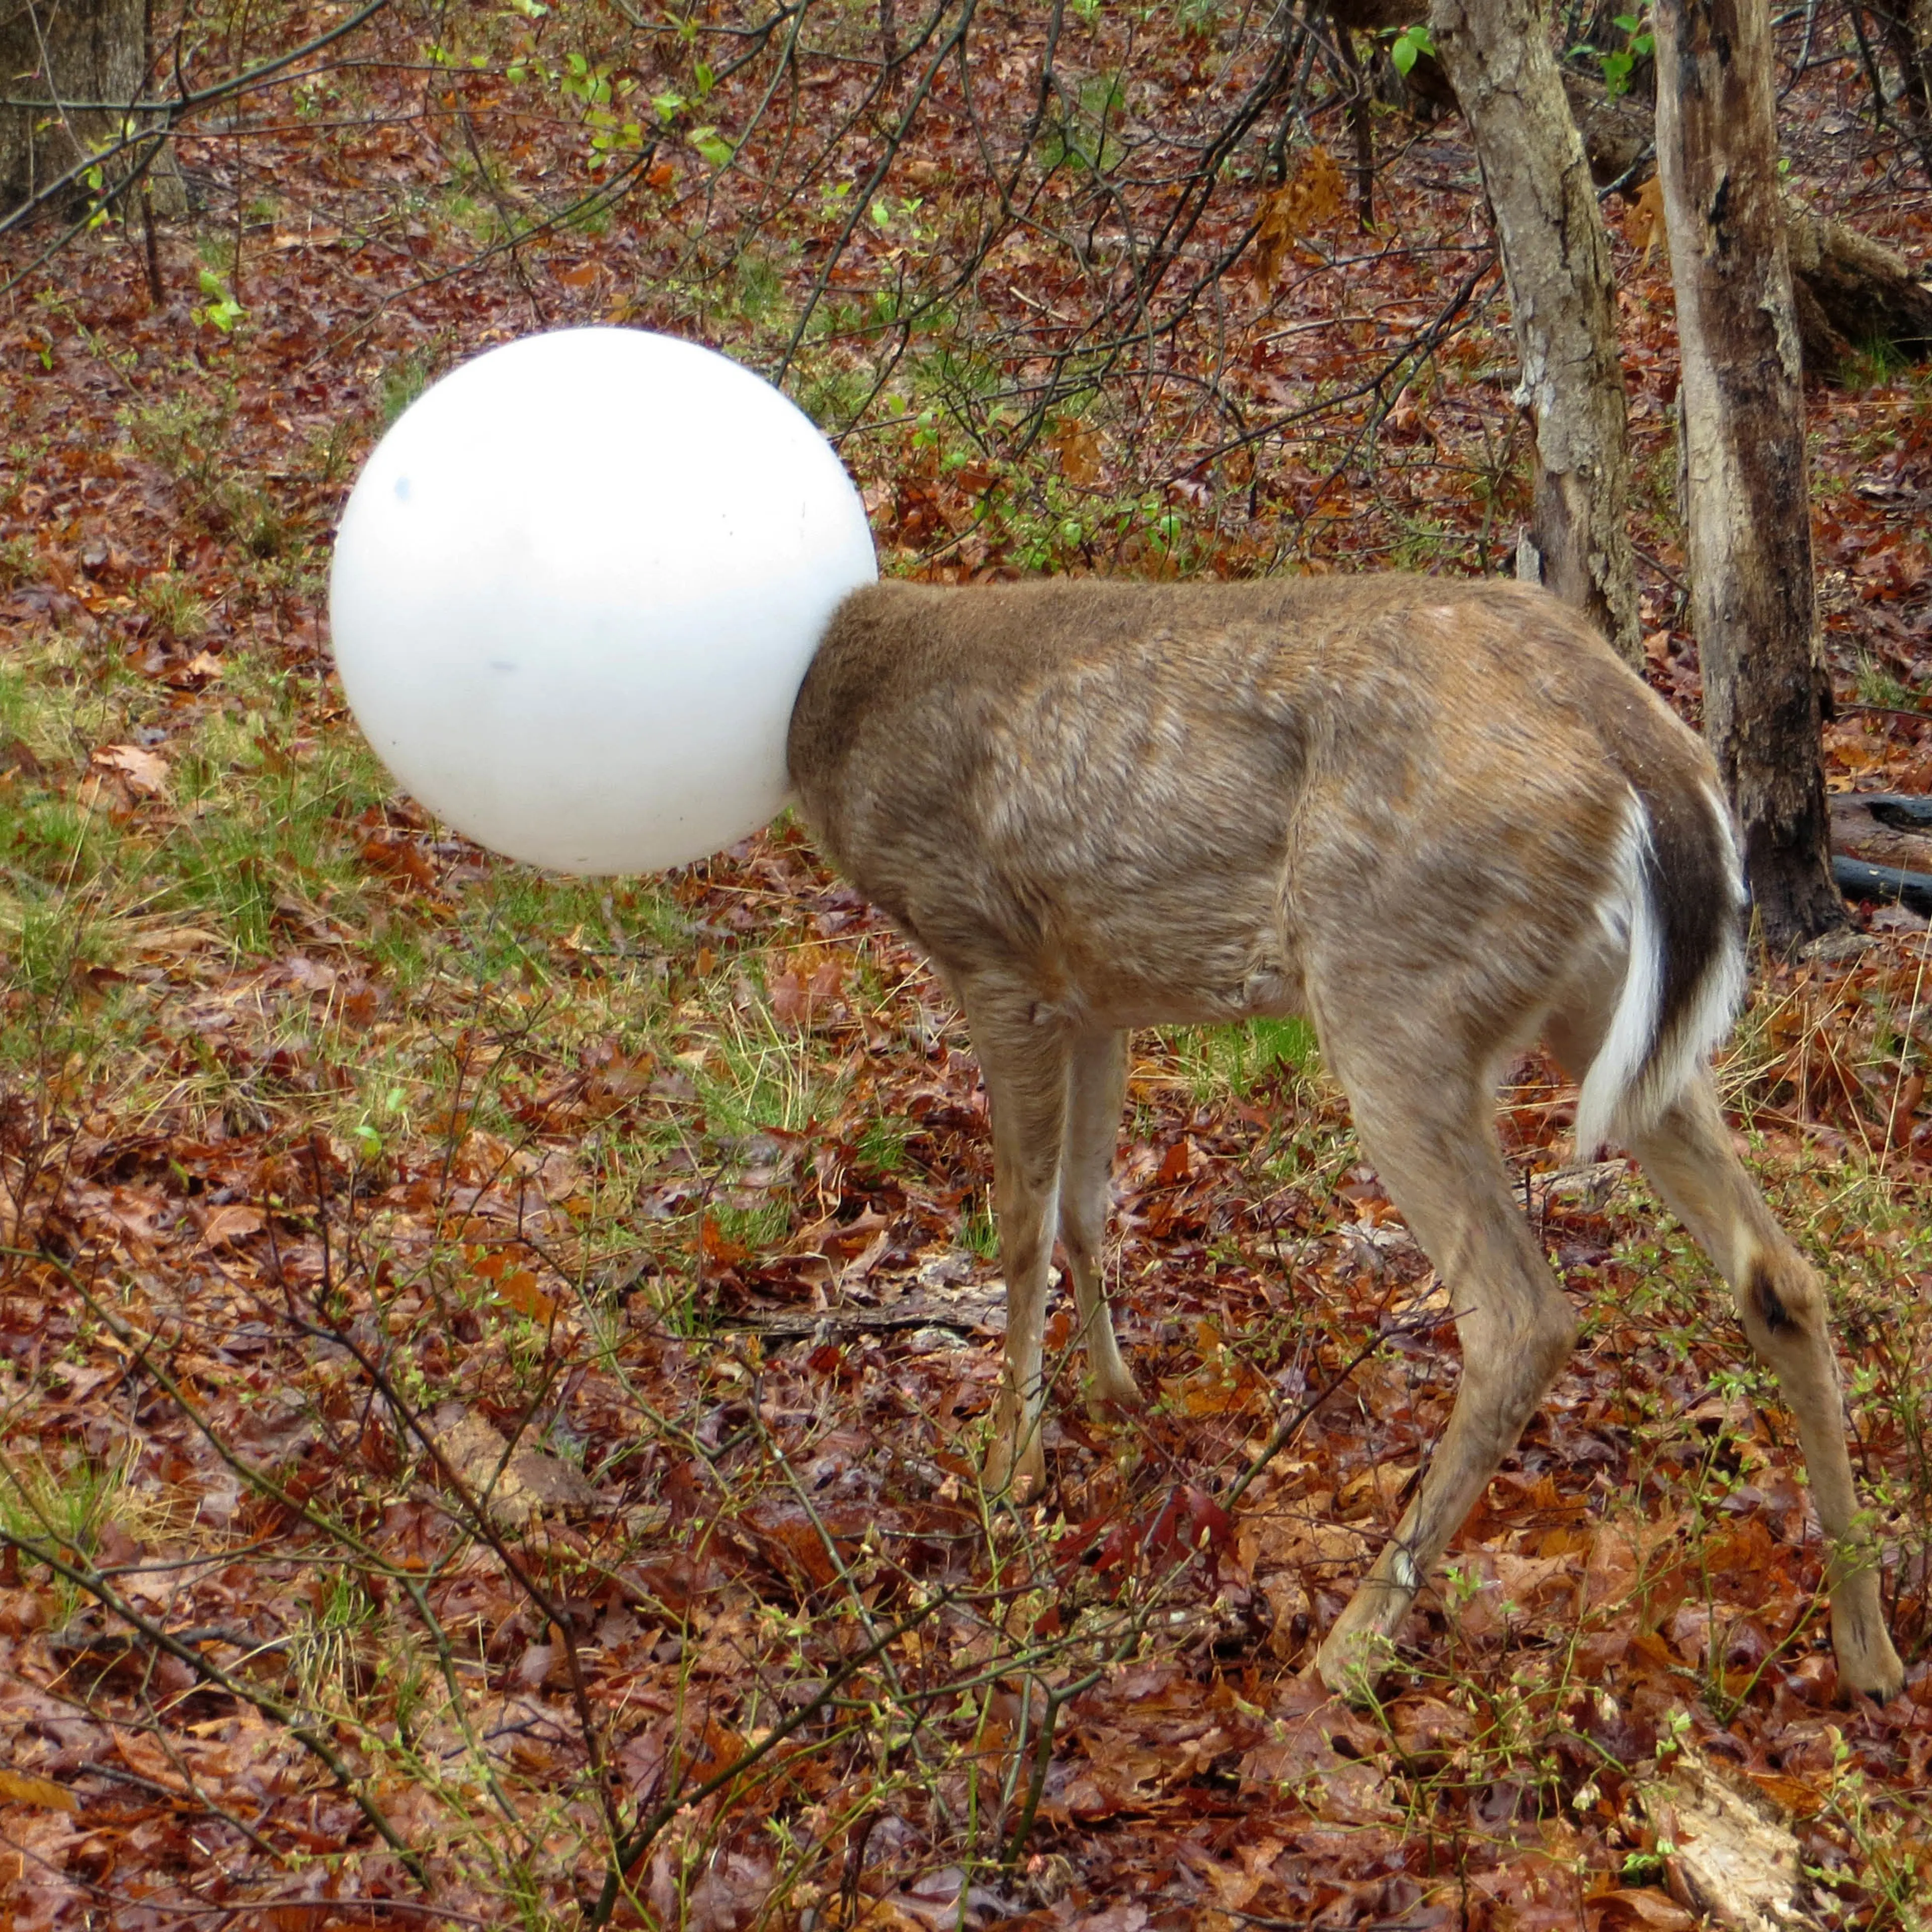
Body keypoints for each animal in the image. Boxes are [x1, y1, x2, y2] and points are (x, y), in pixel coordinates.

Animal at [786, 572, 1906, 1702]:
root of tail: (1647, 745)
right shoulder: (1094, 990)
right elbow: (1086, 1204)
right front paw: (1116, 1397)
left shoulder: (988, 950)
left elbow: (1019, 1222)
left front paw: (1006, 1469)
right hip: (1598, 1011)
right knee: (1779, 1272)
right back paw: (1869, 1644)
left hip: (1394, 987)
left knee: (1521, 1317)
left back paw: (1351, 1644)